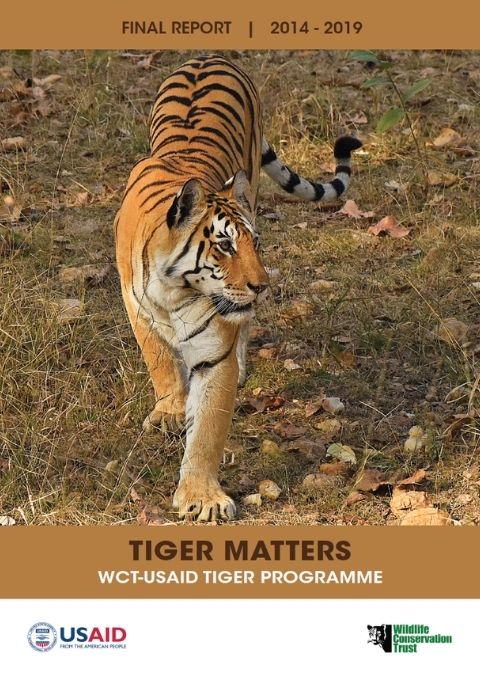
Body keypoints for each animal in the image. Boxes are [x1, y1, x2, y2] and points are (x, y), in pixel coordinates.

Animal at [114, 54, 361, 522]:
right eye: (225, 245)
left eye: (255, 244)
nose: (262, 285)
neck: (174, 288)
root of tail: (209, 56)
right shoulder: (136, 306)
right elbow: (159, 359)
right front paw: (171, 410)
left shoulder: (214, 352)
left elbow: (208, 430)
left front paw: (201, 497)